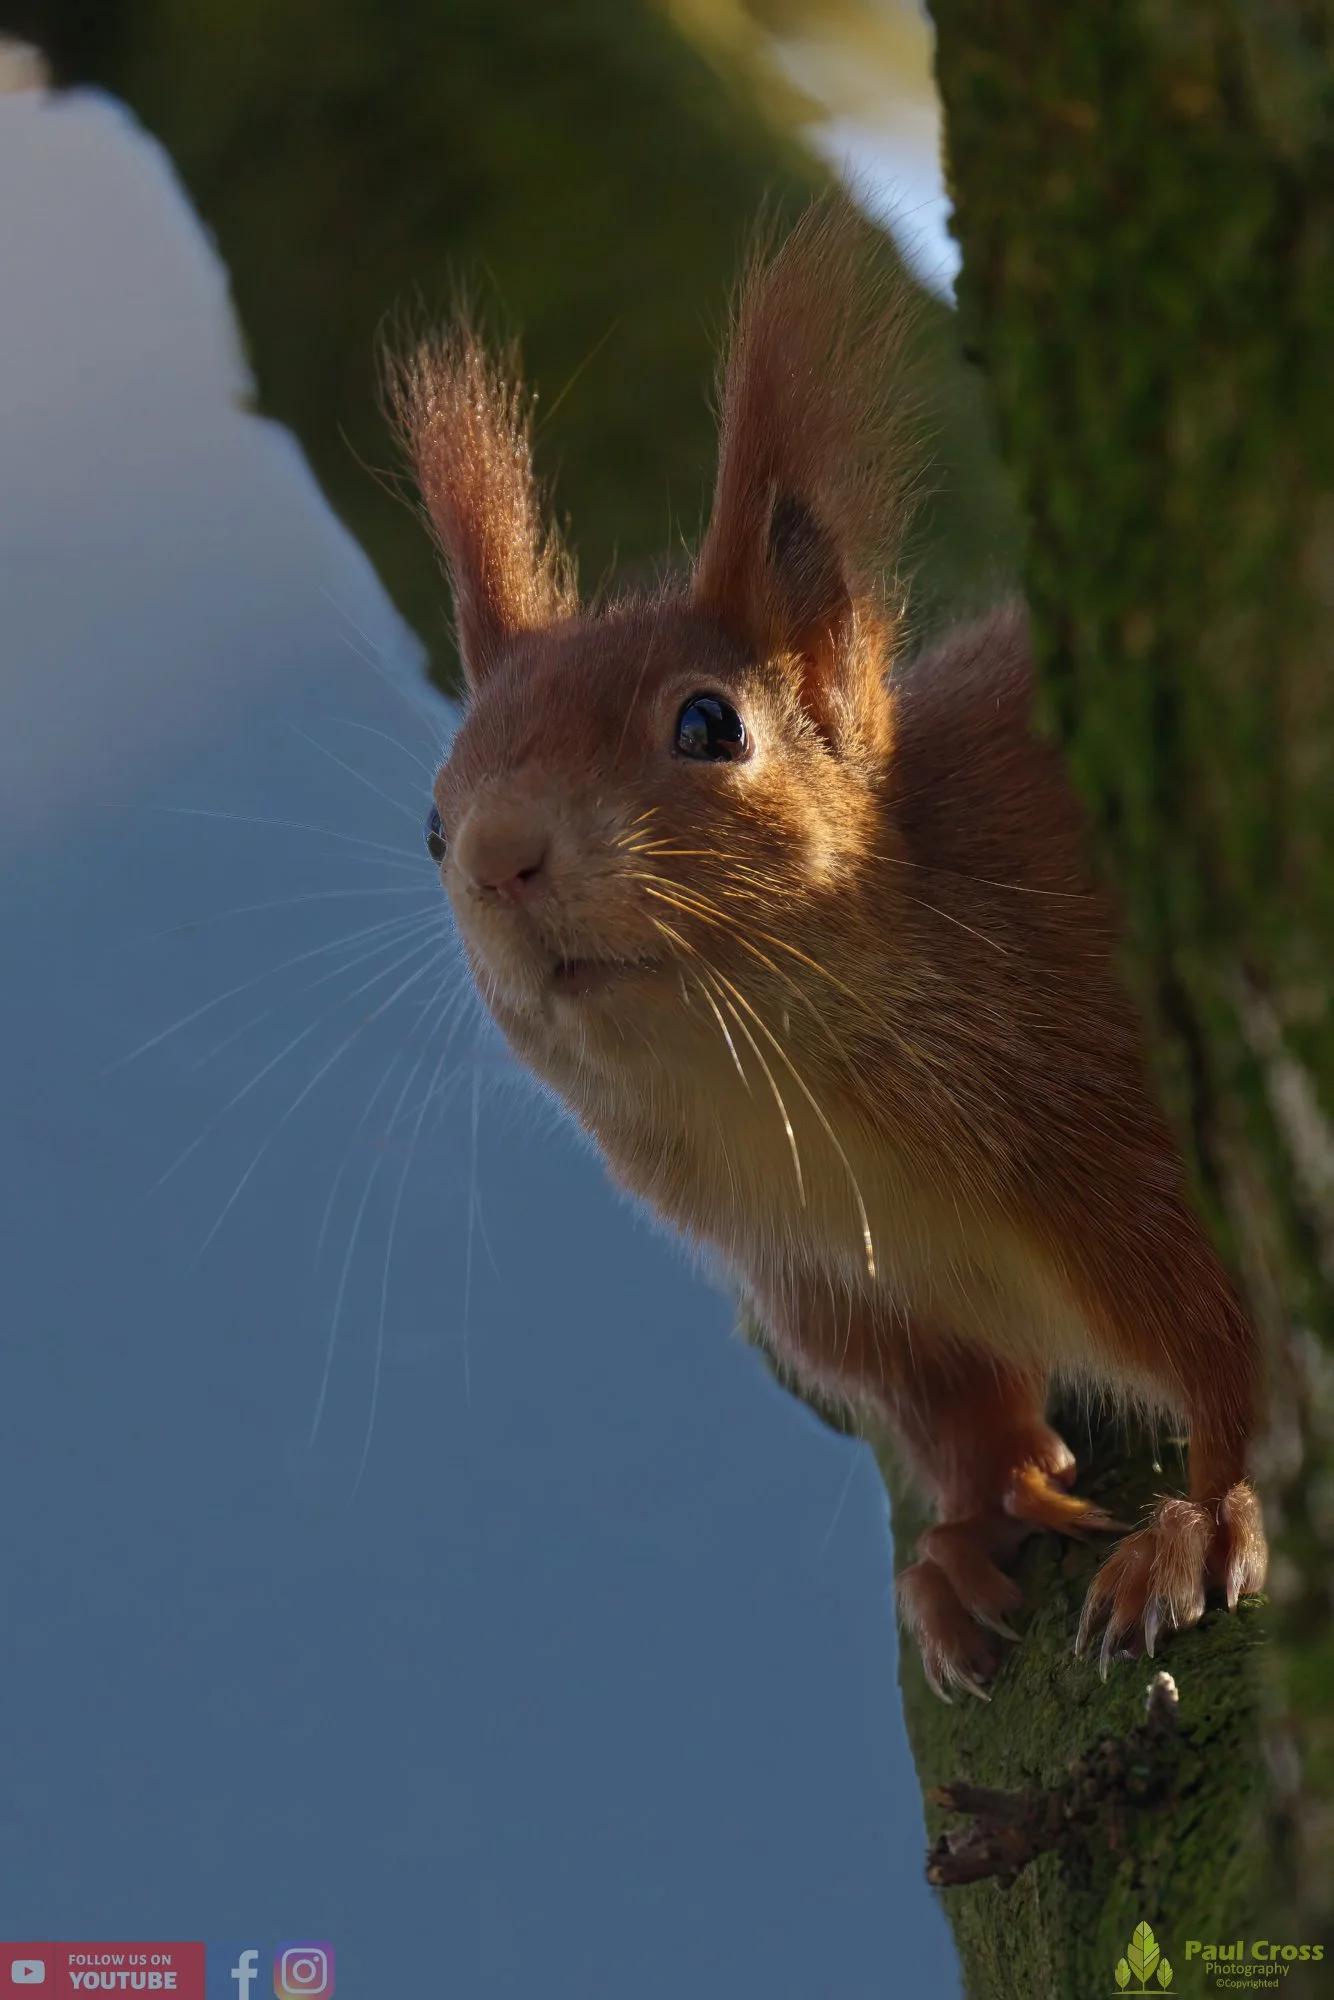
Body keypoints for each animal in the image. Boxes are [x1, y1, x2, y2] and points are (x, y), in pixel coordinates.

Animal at [388, 194, 1268, 1699]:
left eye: (708, 725)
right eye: (430, 822)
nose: (501, 855)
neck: (807, 1104)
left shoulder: (1160, 1145)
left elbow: (1245, 1371)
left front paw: (1203, 1518)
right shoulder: (845, 1294)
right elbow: (960, 1420)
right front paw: (963, 1542)